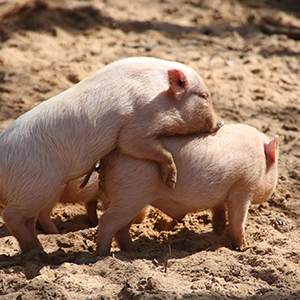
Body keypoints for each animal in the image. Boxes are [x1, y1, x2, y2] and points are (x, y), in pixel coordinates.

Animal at [0, 56, 223, 253]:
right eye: (204, 96)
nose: (220, 123)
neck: (158, 94)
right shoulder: (134, 130)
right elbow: (146, 147)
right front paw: (171, 181)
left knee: (28, 220)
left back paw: (38, 251)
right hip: (36, 188)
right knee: (11, 215)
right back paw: (36, 250)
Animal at [96, 123, 278, 255]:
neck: (261, 162)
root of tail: (106, 159)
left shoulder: (221, 196)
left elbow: (219, 212)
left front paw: (218, 232)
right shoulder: (243, 188)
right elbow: (237, 221)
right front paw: (244, 248)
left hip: (131, 201)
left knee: (121, 229)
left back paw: (133, 252)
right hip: (130, 195)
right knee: (107, 221)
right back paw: (102, 254)